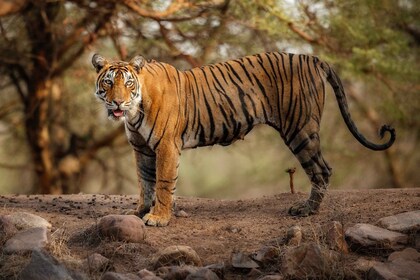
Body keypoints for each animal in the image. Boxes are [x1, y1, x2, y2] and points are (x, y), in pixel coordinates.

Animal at [90, 52, 396, 226]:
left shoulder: (166, 146)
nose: (118, 103)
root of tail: (313, 58)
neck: (134, 112)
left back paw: (306, 210)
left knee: (322, 169)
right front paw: (140, 211)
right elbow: (145, 182)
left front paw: (158, 218)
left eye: (128, 83)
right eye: (108, 82)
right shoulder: (141, 148)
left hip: (300, 129)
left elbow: (163, 183)